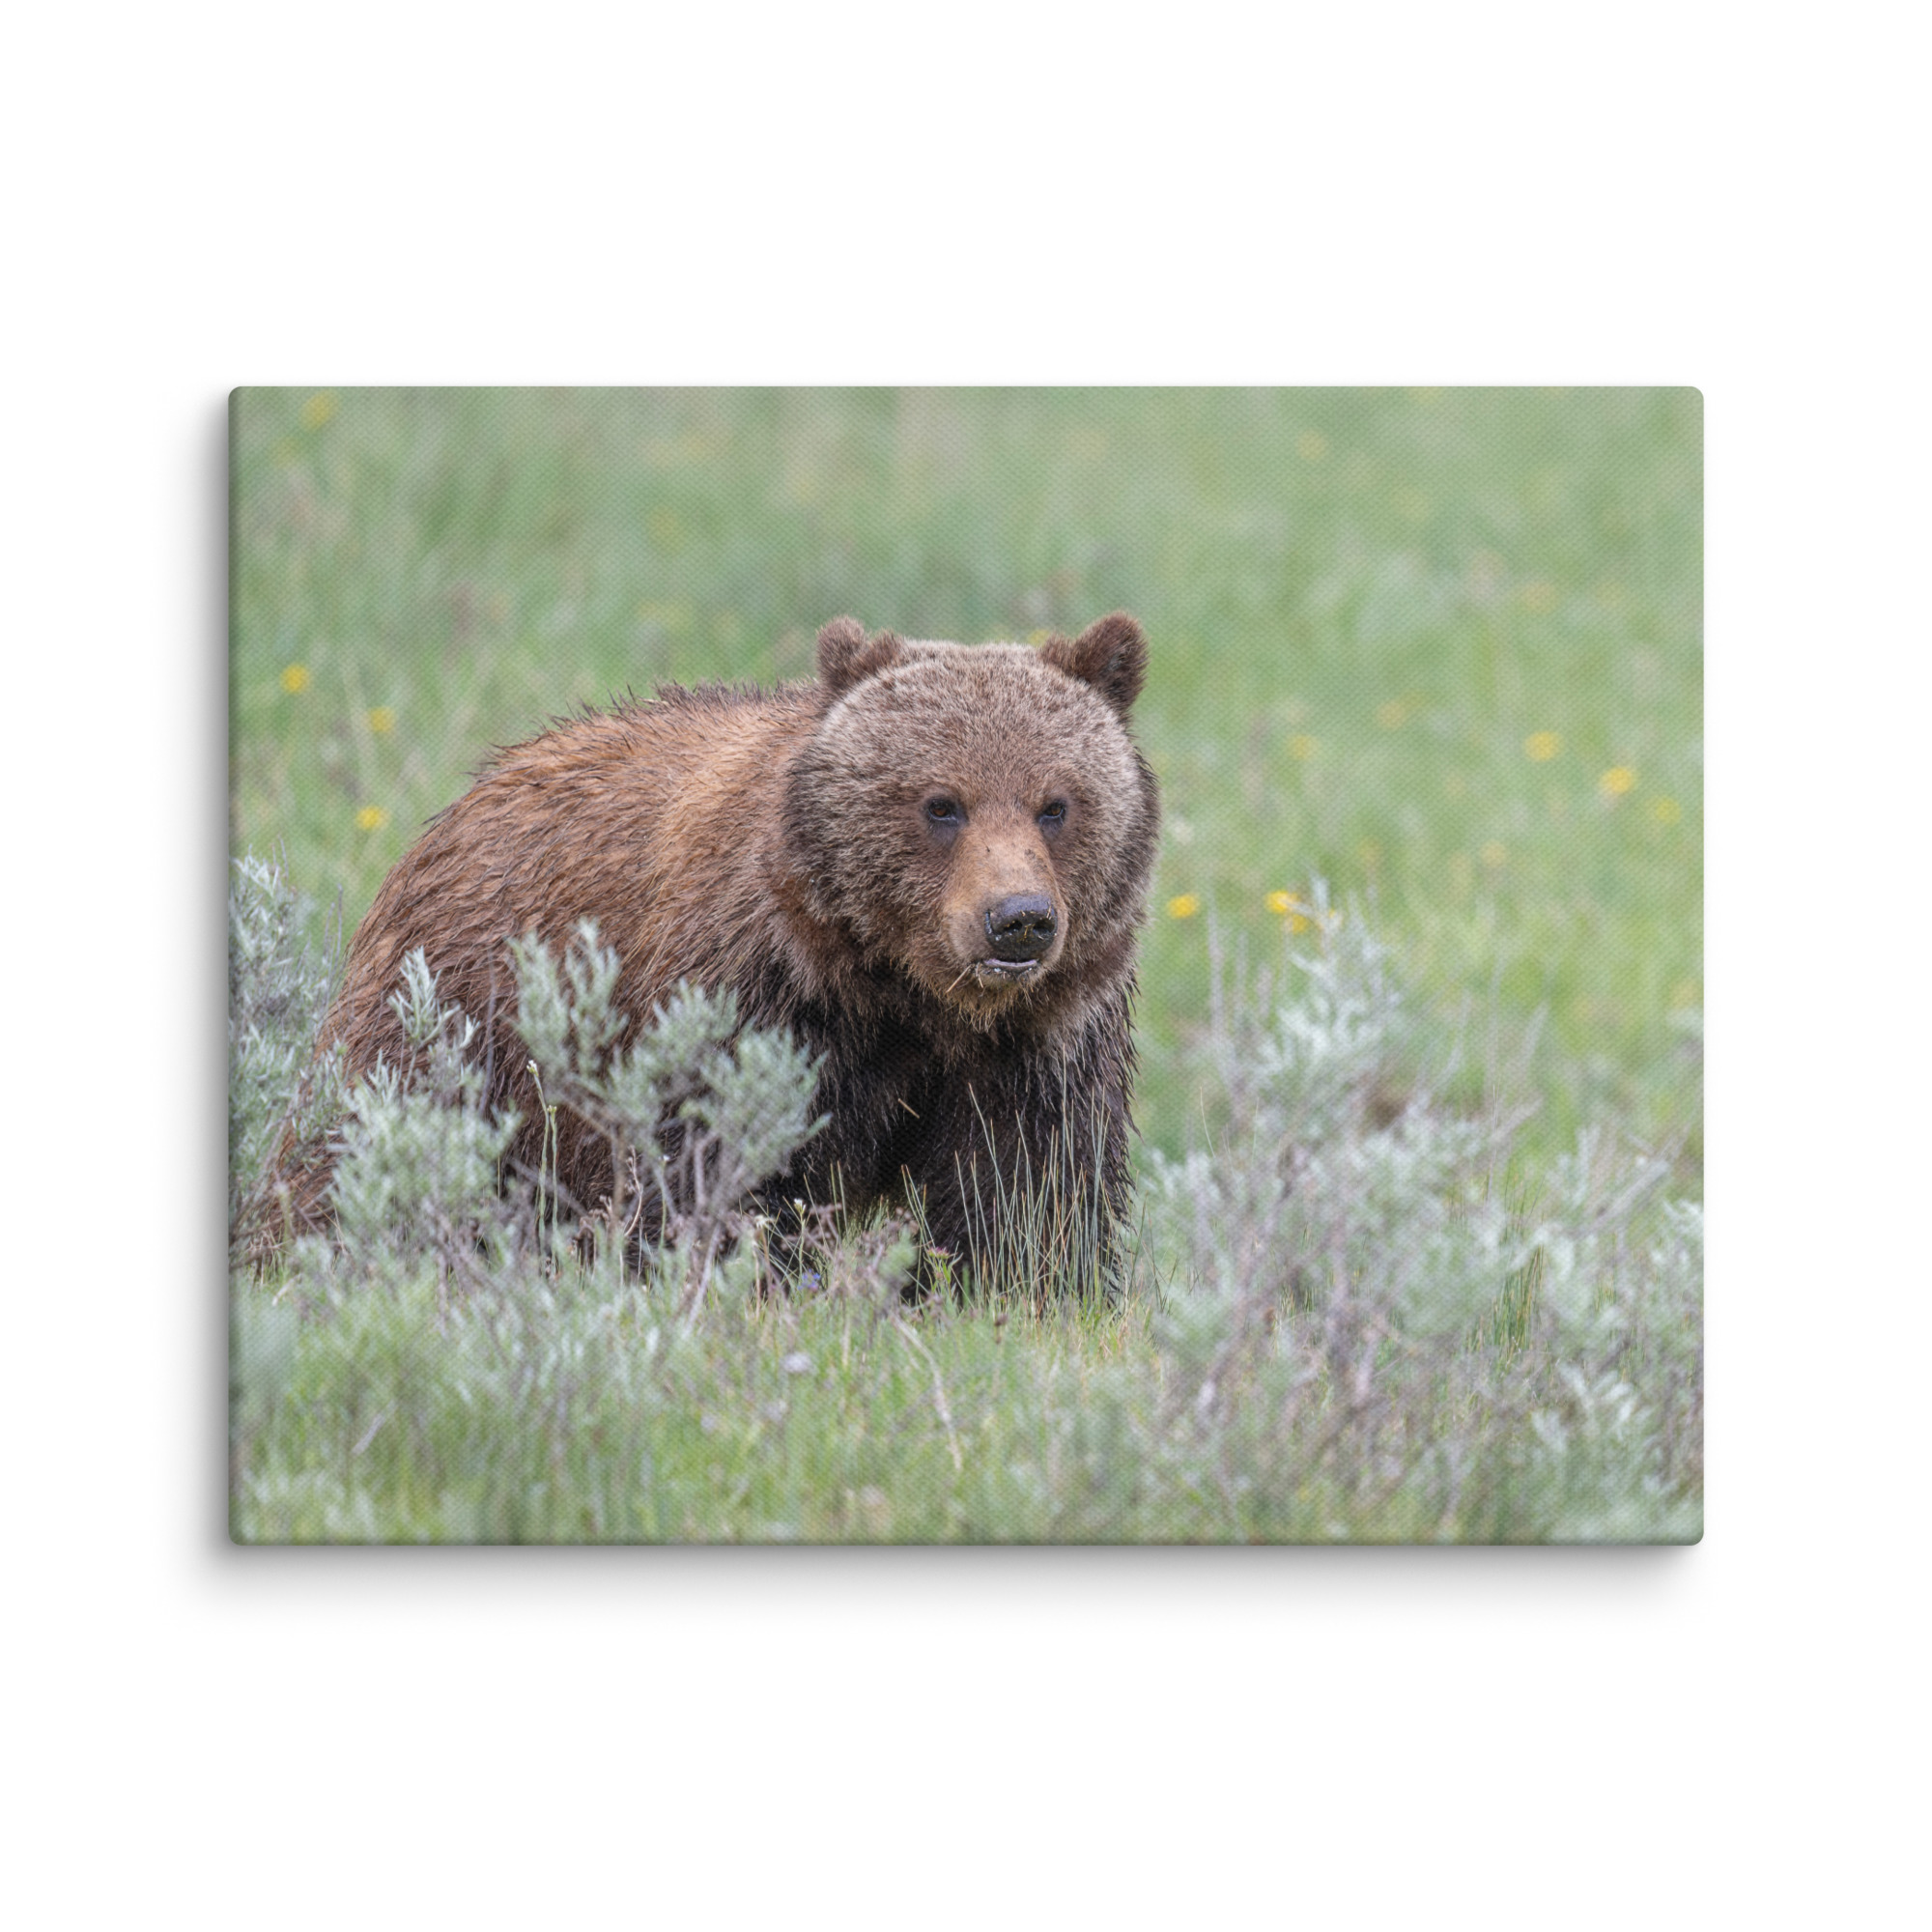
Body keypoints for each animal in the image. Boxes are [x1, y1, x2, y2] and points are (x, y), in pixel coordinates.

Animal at [291, 611, 1159, 1288]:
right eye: (941, 804)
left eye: (1056, 804)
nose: (1018, 920)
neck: (904, 993)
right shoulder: (754, 1000)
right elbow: (713, 1171)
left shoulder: (1039, 1042)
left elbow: (1027, 1194)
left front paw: (1016, 1291)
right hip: (458, 1016)